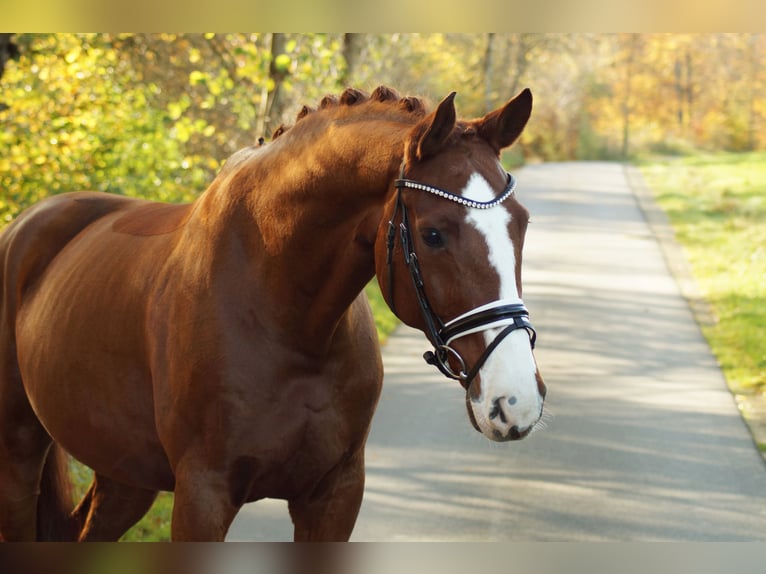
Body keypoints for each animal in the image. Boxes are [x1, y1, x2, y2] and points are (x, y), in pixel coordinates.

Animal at [3, 84, 548, 540]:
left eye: (521, 223)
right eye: (433, 234)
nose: (515, 400)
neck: (289, 325)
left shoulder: (334, 495)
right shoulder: (203, 496)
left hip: (125, 473)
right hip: (21, 452)